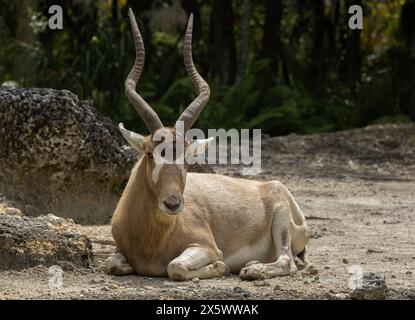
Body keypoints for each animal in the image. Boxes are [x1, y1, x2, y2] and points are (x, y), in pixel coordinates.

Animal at [107, 9, 312, 280]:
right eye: (150, 154)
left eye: (187, 159)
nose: (173, 204)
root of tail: (272, 185)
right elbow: (112, 263)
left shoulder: (206, 247)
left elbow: (176, 266)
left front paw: (220, 267)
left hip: (281, 219)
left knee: (288, 261)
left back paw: (252, 269)